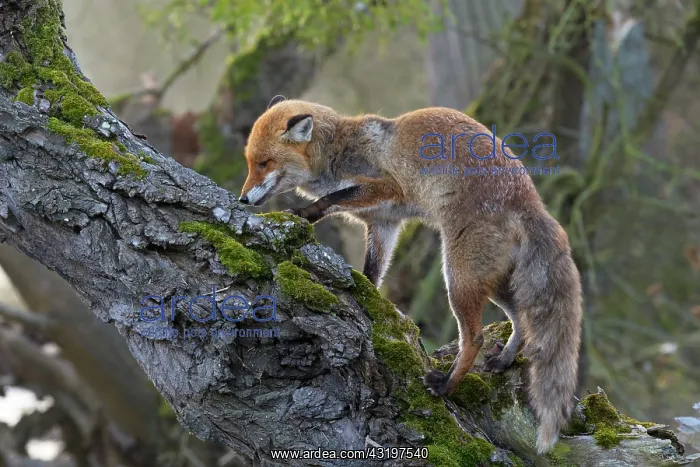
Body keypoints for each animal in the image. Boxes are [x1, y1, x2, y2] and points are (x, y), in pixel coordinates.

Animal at [239, 95, 583, 455]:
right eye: (250, 163)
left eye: (264, 163)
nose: (242, 199)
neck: (338, 149)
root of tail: (531, 201)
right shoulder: (384, 224)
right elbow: (372, 273)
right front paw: (367, 297)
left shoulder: (388, 187)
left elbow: (333, 197)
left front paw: (307, 213)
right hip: (494, 283)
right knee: (521, 320)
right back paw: (503, 361)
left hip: (457, 276)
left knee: (475, 337)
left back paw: (446, 386)